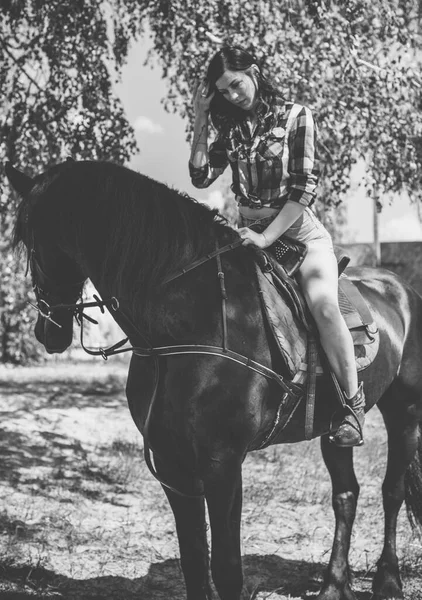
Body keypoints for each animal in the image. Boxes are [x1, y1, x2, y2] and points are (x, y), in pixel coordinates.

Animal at [5, 159, 422, 600]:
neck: (185, 329)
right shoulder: (172, 463)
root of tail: (400, 288)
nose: (46, 331)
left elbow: (225, 569)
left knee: (391, 491)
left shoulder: (222, 464)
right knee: (346, 494)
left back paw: (388, 580)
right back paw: (333, 584)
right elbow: (193, 562)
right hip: (330, 428)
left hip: (404, 412)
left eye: (33, 245)